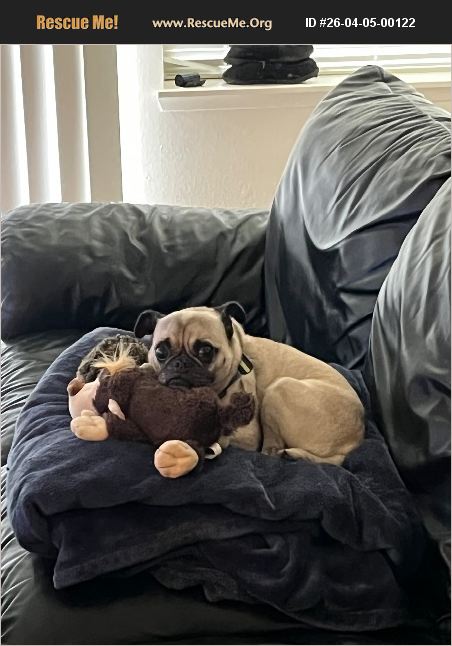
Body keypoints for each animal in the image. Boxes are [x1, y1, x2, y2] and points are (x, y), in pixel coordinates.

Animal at [131, 302, 365, 477]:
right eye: (160, 351)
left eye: (206, 350)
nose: (180, 364)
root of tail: (353, 442)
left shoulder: (246, 436)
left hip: (278, 390)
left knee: (269, 450)